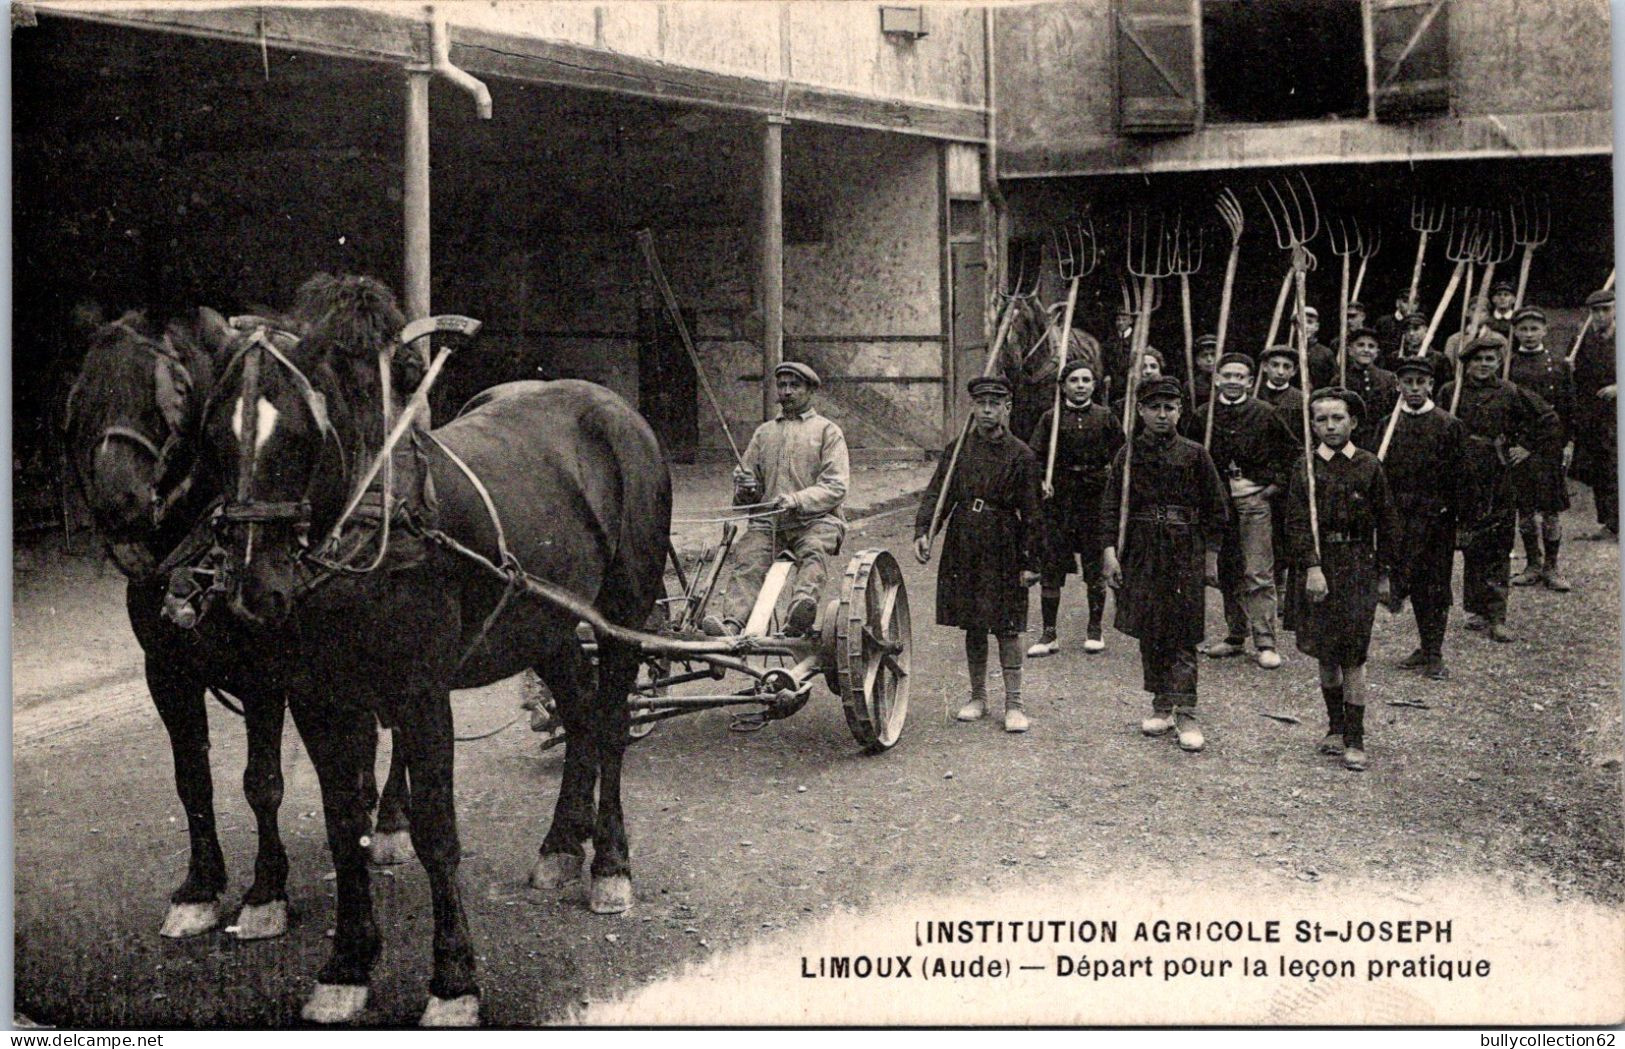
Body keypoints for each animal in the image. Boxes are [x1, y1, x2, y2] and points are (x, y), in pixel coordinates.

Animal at [65, 303, 409, 948]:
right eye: (84, 396)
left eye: (169, 395)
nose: (121, 505)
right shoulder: (166, 672)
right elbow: (191, 780)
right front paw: (199, 888)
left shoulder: (264, 677)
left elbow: (261, 782)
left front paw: (265, 892)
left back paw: (394, 822)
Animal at [190, 272, 672, 1026]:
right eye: (214, 434)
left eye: (298, 436)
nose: (250, 587)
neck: (368, 530)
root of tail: (615, 408)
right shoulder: (320, 699)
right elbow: (343, 824)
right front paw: (347, 964)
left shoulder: (420, 697)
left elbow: (436, 833)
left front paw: (453, 981)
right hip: (544, 622)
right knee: (579, 712)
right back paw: (562, 844)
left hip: (624, 610)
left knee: (613, 721)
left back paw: (609, 865)